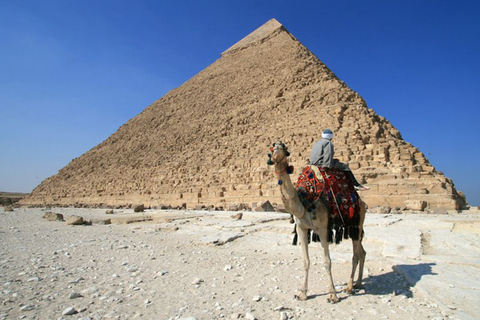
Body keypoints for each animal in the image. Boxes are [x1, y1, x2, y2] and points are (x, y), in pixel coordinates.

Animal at [268, 141, 366, 302]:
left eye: (285, 149)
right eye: (272, 148)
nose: (276, 152)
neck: (304, 202)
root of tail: (362, 202)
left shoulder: (322, 228)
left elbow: (327, 262)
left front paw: (332, 295)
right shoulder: (301, 228)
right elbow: (306, 261)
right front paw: (302, 293)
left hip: (357, 224)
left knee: (356, 255)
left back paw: (350, 287)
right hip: (355, 229)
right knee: (362, 253)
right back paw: (357, 283)